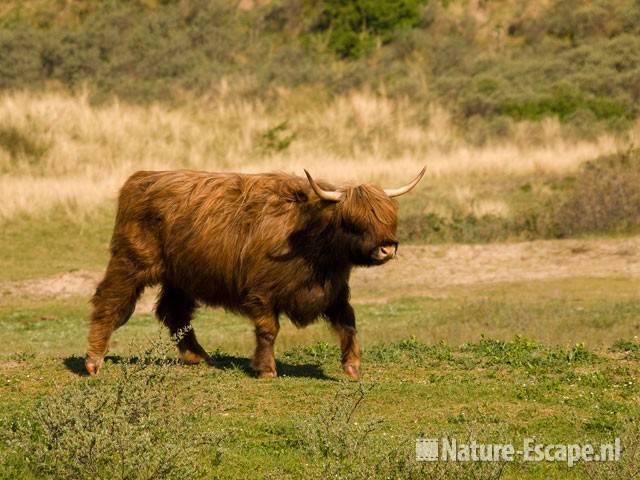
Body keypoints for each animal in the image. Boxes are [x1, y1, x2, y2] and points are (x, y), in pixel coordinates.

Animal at [85, 169, 424, 378]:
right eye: (354, 221)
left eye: (388, 217)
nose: (387, 248)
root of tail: (141, 178)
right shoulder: (261, 292)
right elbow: (268, 330)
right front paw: (266, 369)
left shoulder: (335, 293)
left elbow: (348, 324)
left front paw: (352, 366)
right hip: (131, 262)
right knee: (110, 301)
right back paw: (93, 361)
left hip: (180, 276)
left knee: (174, 312)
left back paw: (199, 356)